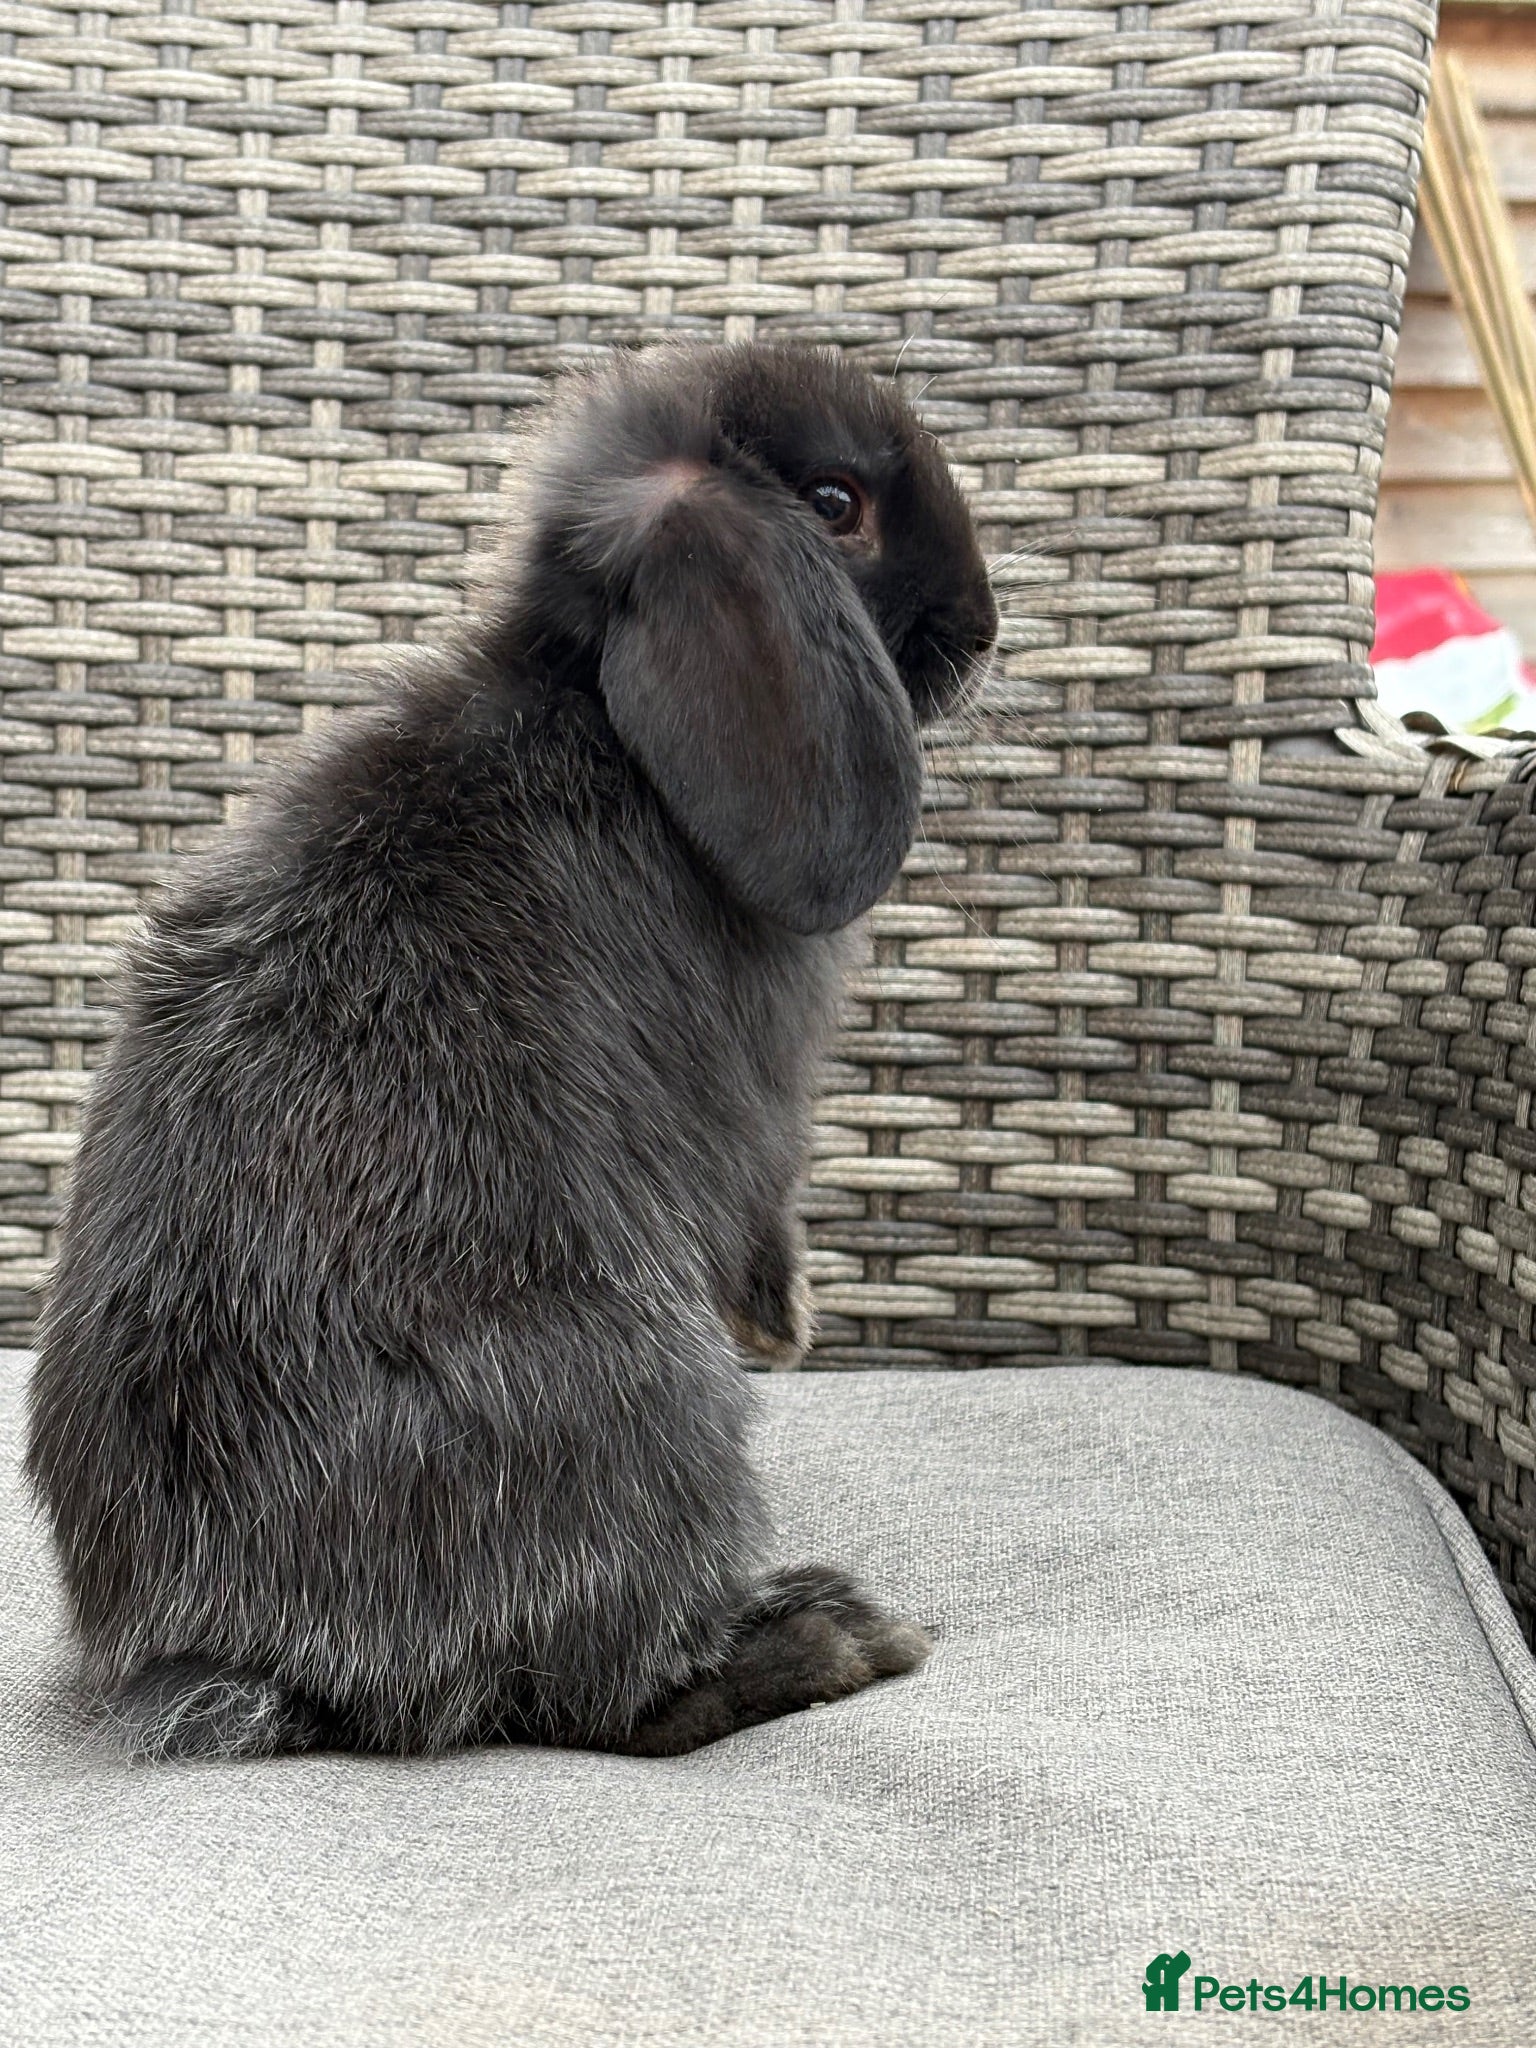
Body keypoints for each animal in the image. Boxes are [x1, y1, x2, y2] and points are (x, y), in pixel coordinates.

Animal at [25, 342, 999, 1763]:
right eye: (836, 504)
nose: (984, 629)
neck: (600, 716)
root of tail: (248, 1644)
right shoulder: (756, 1114)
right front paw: (786, 1324)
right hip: (648, 1399)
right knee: (605, 1697)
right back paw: (828, 1631)